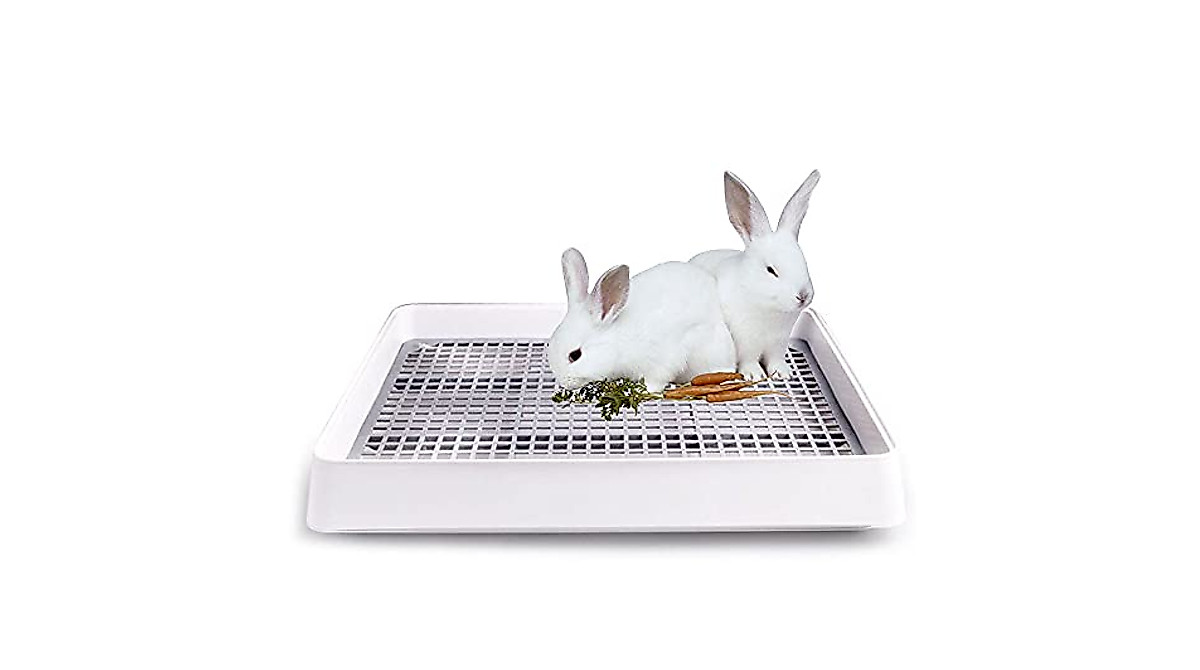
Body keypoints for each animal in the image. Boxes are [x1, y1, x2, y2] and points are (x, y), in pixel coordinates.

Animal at [549, 248, 736, 394]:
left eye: (575, 355)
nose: (564, 382)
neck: (617, 340)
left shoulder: (663, 358)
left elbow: (655, 379)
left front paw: (642, 391)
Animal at [690, 169, 821, 380]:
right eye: (771, 270)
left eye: (804, 263)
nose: (803, 296)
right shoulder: (746, 341)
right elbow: (749, 359)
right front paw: (754, 375)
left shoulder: (779, 342)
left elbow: (776, 359)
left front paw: (782, 373)